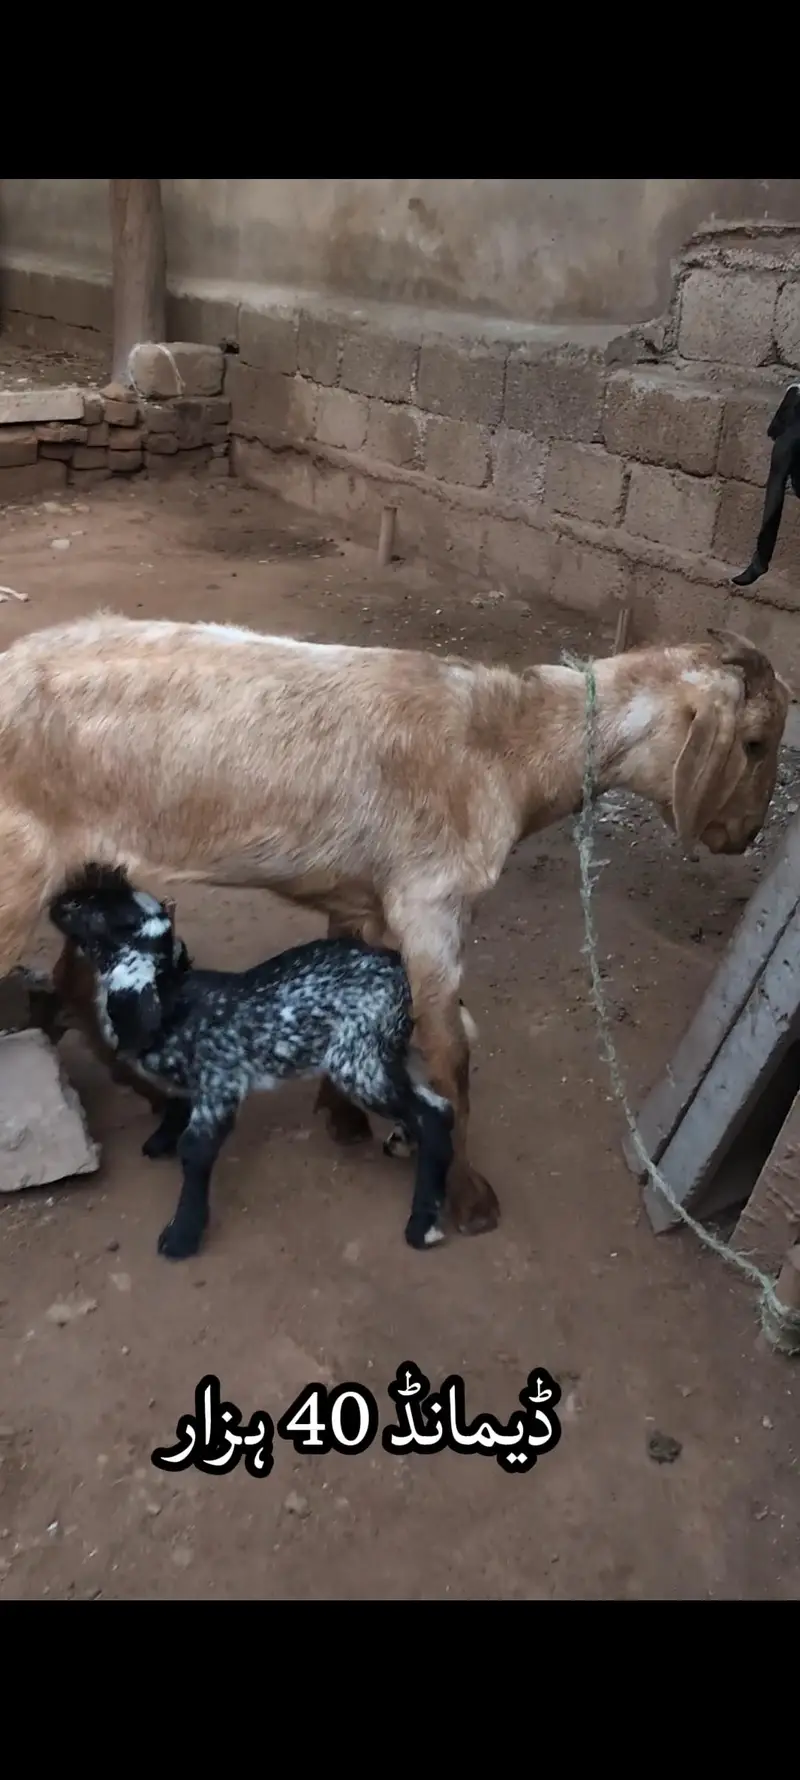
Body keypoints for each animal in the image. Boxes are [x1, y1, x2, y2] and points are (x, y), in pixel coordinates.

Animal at [48, 863, 465, 1260]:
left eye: (99, 911)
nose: (58, 901)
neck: (170, 1001)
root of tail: (400, 970)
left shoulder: (220, 1083)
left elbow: (195, 1150)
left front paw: (181, 1236)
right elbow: (176, 1106)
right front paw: (160, 1139)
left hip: (357, 1061)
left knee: (433, 1114)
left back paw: (423, 1224)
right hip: (390, 1053)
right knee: (437, 1105)